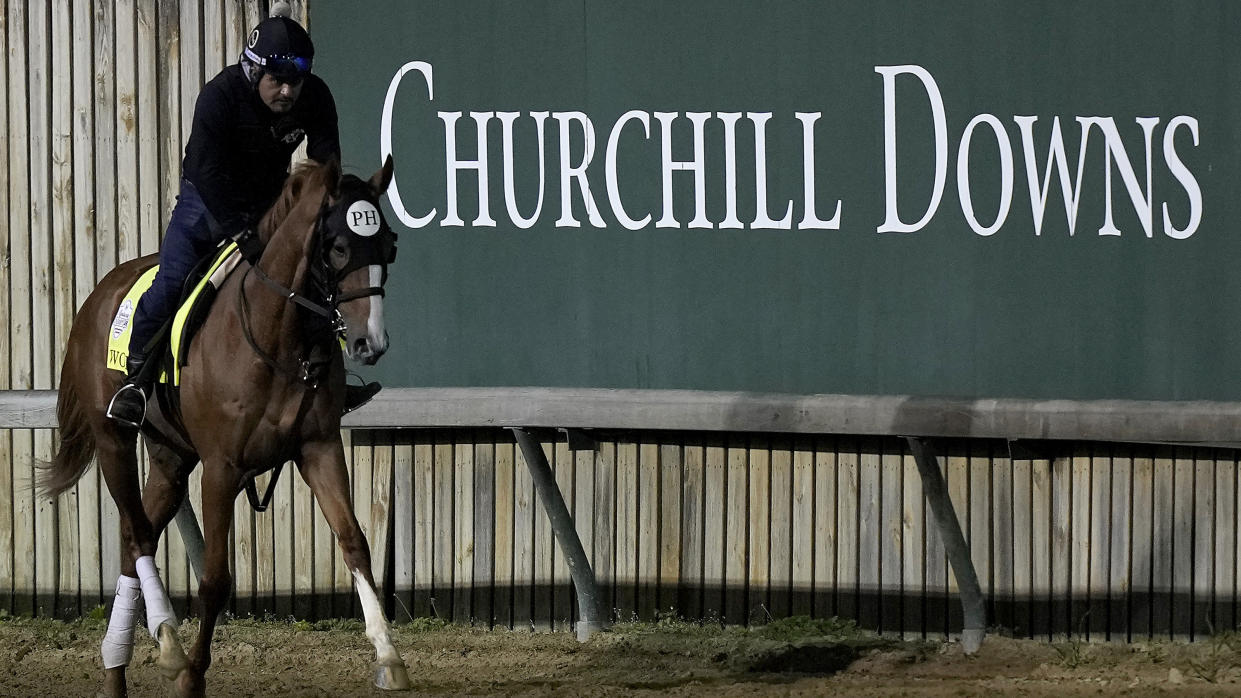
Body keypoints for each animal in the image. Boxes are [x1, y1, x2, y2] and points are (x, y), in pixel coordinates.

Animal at [36, 157, 407, 695]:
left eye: (389, 247)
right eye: (338, 247)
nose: (369, 343)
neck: (278, 339)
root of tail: (97, 297)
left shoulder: (318, 448)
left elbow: (353, 540)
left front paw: (389, 654)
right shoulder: (221, 469)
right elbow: (214, 579)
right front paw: (192, 675)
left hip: (170, 460)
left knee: (134, 540)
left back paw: (119, 668)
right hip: (113, 443)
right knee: (137, 534)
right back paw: (168, 645)